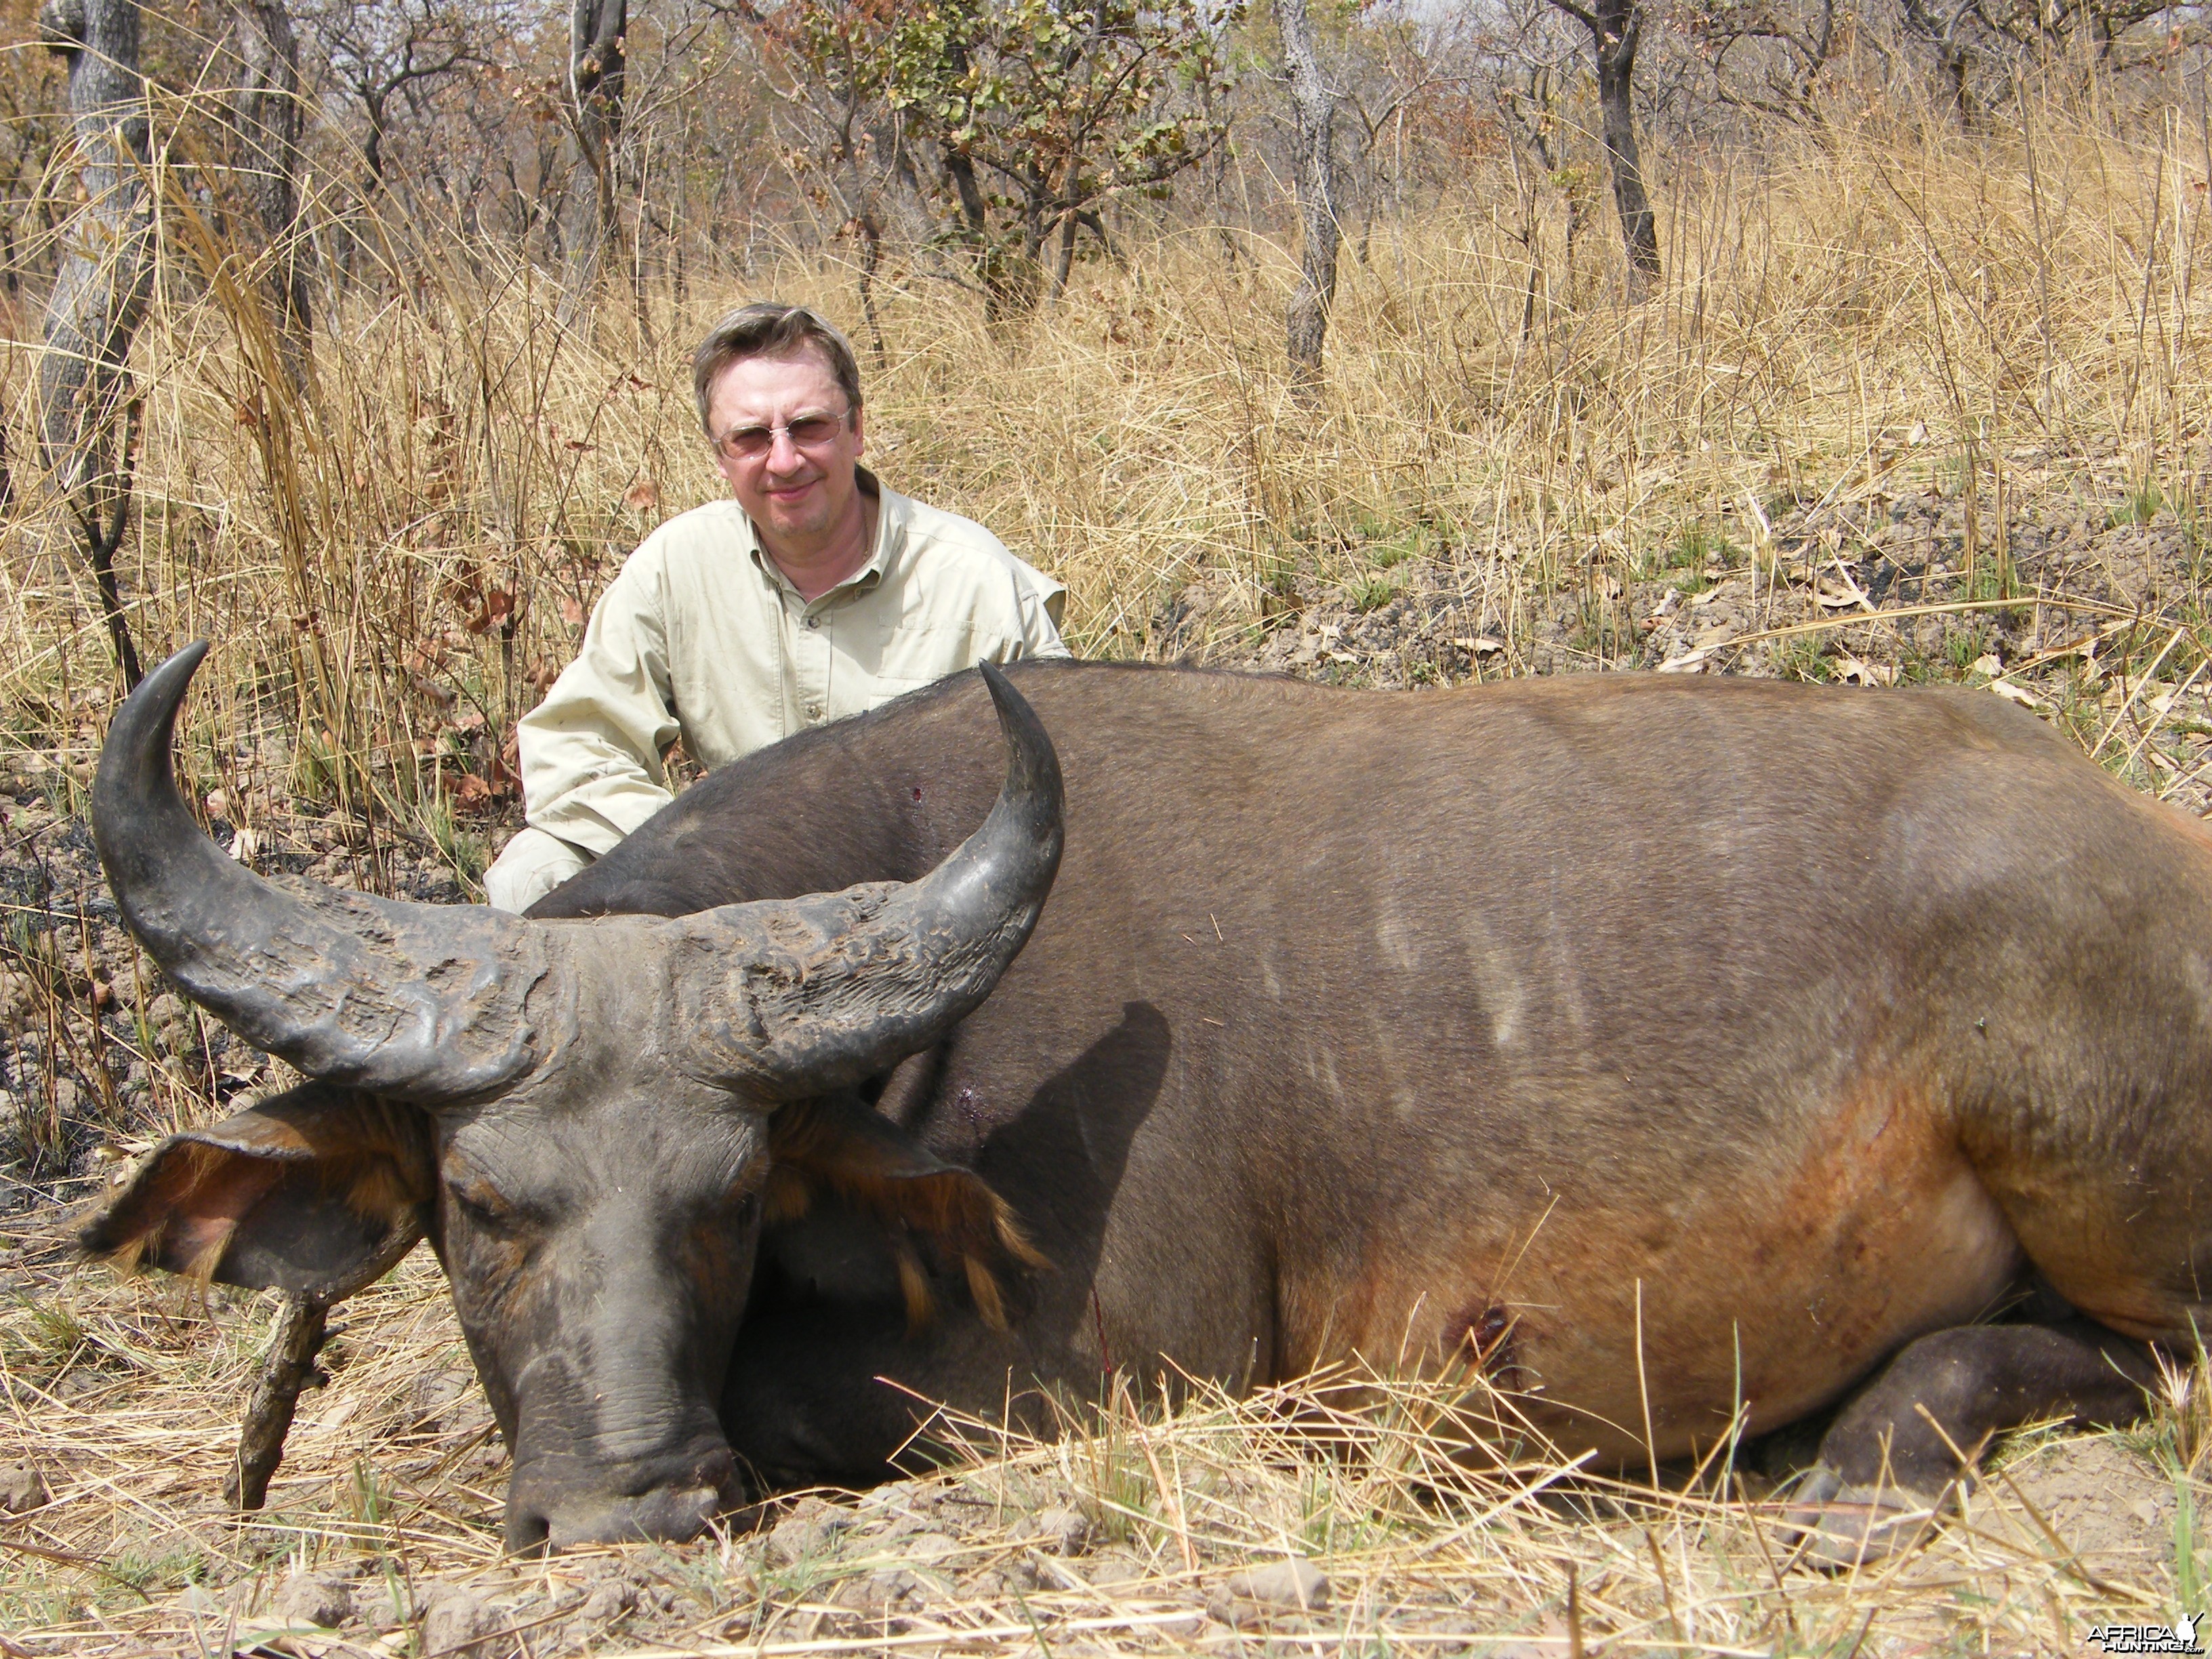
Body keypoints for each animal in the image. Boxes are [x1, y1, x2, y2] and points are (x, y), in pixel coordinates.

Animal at [81, 641, 2194, 1557]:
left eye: (733, 1198)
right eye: (480, 1206)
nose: (631, 1504)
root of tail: (2137, 836)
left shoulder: (1112, 1373)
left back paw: (1874, 1456)